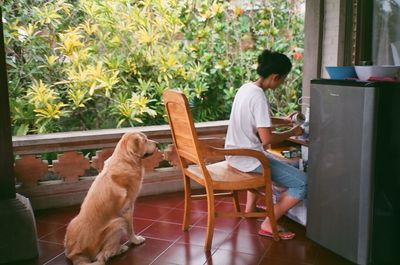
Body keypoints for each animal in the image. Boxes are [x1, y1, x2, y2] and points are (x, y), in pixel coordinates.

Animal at [64, 132, 156, 264]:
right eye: (145, 140)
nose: (157, 144)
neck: (126, 160)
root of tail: (76, 254)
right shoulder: (127, 209)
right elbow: (130, 229)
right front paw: (135, 240)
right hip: (118, 222)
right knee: (102, 255)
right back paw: (121, 248)